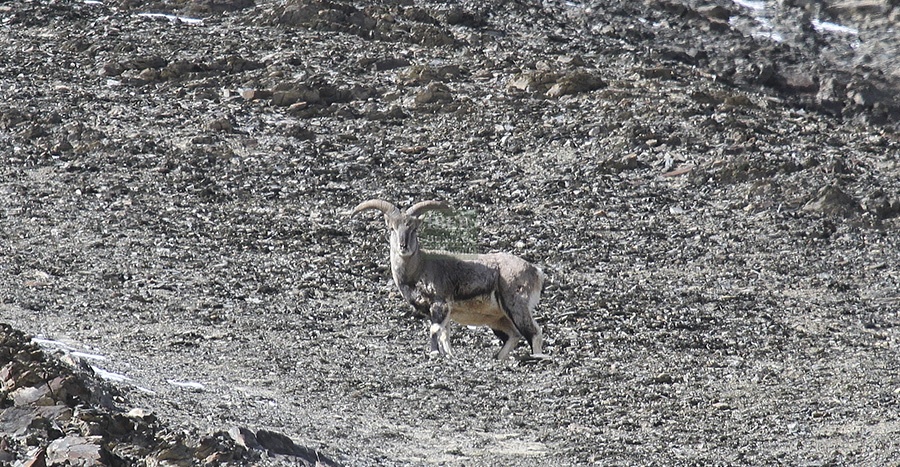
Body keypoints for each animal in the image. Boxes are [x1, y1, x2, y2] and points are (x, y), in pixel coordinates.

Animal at [350, 199, 548, 360]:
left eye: (413, 228)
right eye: (392, 228)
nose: (403, 246)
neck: (419, 267)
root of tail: (536, 271)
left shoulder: (440, 303)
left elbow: (435, 329)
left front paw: (434, 353)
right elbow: (445, 333)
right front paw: (449, 355)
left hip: (516, 306)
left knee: (534, 333)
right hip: (497, 318)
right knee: (514, 335)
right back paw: (498, 357)